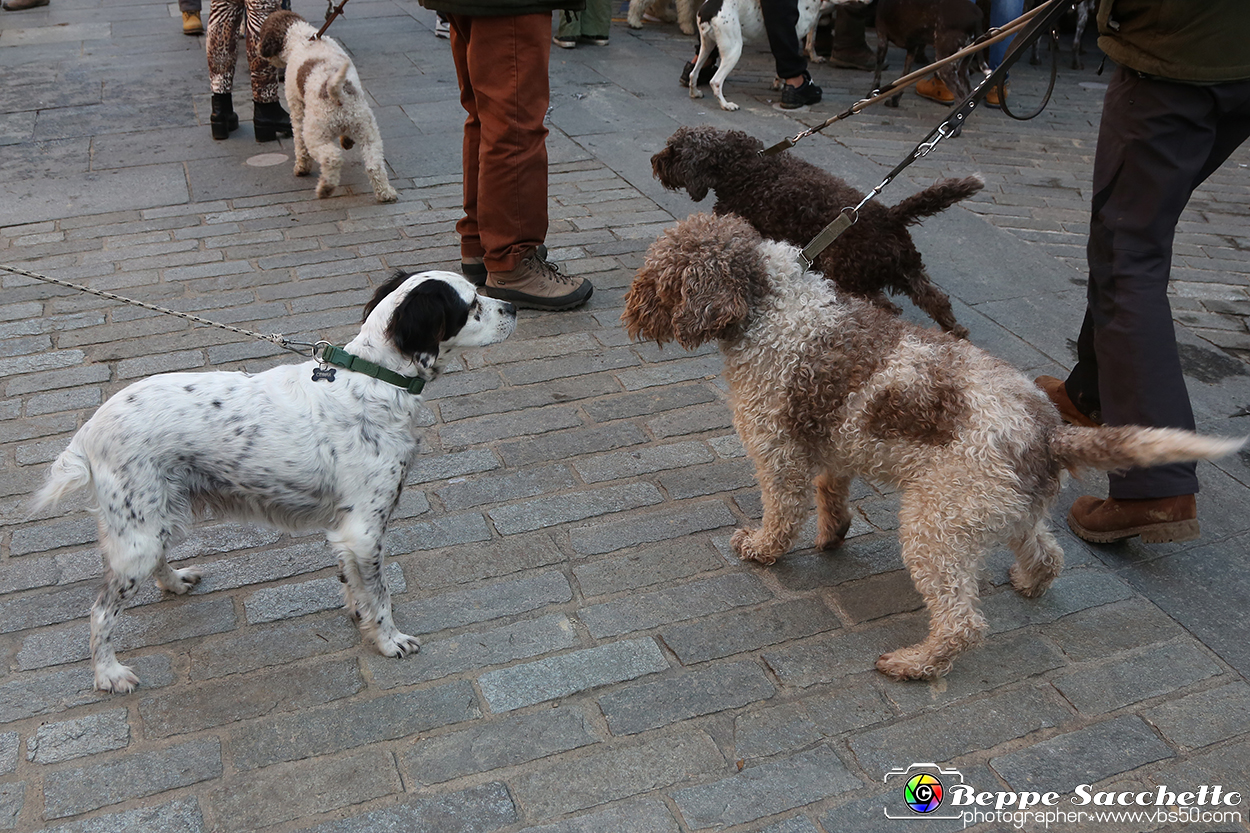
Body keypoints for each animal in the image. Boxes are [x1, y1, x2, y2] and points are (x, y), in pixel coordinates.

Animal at [32, 268, 517, 690]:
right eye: (472, 304)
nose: (512, 306)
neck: (375, 381)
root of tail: (89, 429)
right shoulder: (364, 530)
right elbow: (380, 597)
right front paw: (389, 641)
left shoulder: (346, 533)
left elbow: (355, 587)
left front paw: (359, 618)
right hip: (138, 534)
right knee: (100, 613)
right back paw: (108, 674)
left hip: (156, 517)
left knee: (154, 565)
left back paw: (174, 582)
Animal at [251, 10, 392, 201]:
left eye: (262, 34)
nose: (257, 48)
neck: (302, 37)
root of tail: (335, 90)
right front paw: (346, 140)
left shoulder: (296, 108)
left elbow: (299, 143)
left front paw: (301, 168)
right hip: (367, 130)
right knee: (374, 164)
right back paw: (386, 193)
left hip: (315, 133)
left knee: (331, 158)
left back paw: (326, 188)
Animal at [650, 125, 980, 337]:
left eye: (674, 151)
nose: (654, 161)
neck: (743, 167)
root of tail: (889, 216)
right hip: (908, 271)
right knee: (936, 300)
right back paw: (956, 330)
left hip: (850, 275)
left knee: (885, 307)